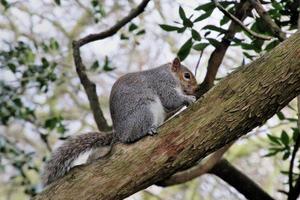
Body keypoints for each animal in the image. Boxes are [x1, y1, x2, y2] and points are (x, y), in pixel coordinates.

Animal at [41, 57, 197, 186]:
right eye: (187, 75)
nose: (196, 88)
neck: (170, 74)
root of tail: (120, 133)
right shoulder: (162, 83)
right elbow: (170, 98)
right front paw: (188, 99)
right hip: (144, 112)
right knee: (134, 136)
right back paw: (149, 130)